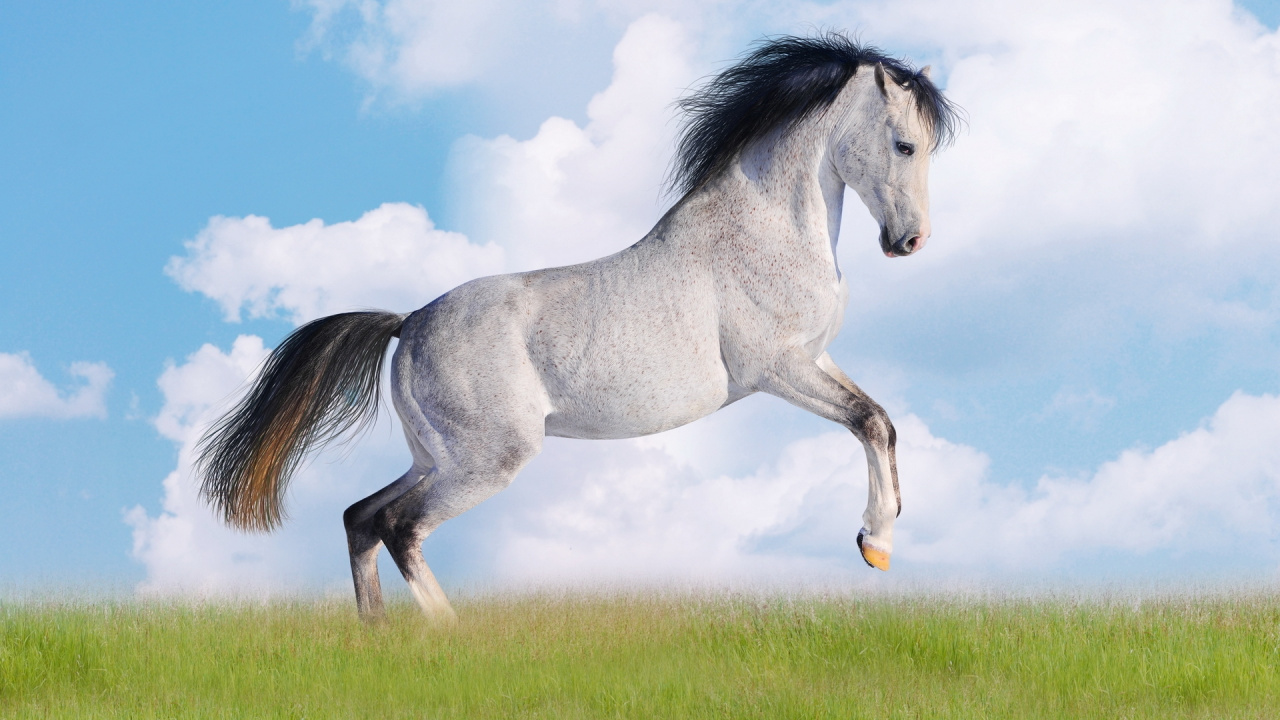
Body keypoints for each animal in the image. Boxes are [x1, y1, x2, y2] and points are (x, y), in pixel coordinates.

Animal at [196, 33, 960, 622]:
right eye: (904, 145)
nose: (909, 242)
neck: (765, 230)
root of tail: (408, 324)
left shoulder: (814, 361)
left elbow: (882, 420)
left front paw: (879, 544)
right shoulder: (777, 369)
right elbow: (867, 421)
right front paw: (874, 543)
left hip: (437, 456)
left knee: (361, 516)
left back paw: (377, 635)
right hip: (487, 460)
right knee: (398, 526)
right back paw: (448, 637)